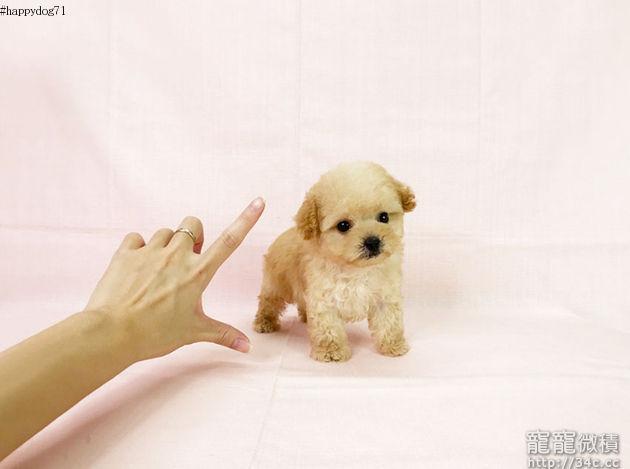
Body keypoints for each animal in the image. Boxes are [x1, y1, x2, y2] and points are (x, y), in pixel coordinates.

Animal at [253, 161, 416, 362]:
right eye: (343, 225)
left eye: (384, 217)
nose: (372, 242)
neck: (355, 269)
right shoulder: (324, 299)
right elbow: (329, 329)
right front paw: (332, 352)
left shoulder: (385, 296)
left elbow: (389, 322)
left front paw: (393, 345)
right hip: (277, 284)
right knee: (268, 301)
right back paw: (264, 322)